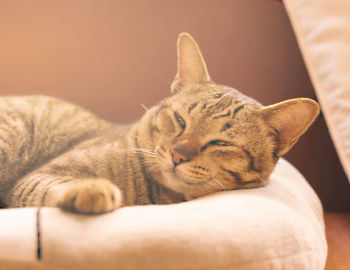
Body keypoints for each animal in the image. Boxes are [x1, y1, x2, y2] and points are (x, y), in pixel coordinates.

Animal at [0, 33, 320, 213]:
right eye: (180, 120)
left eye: (220, 142)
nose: (178, 155)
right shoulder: (36, 178)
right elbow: (54, 186)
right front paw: (91, 189)